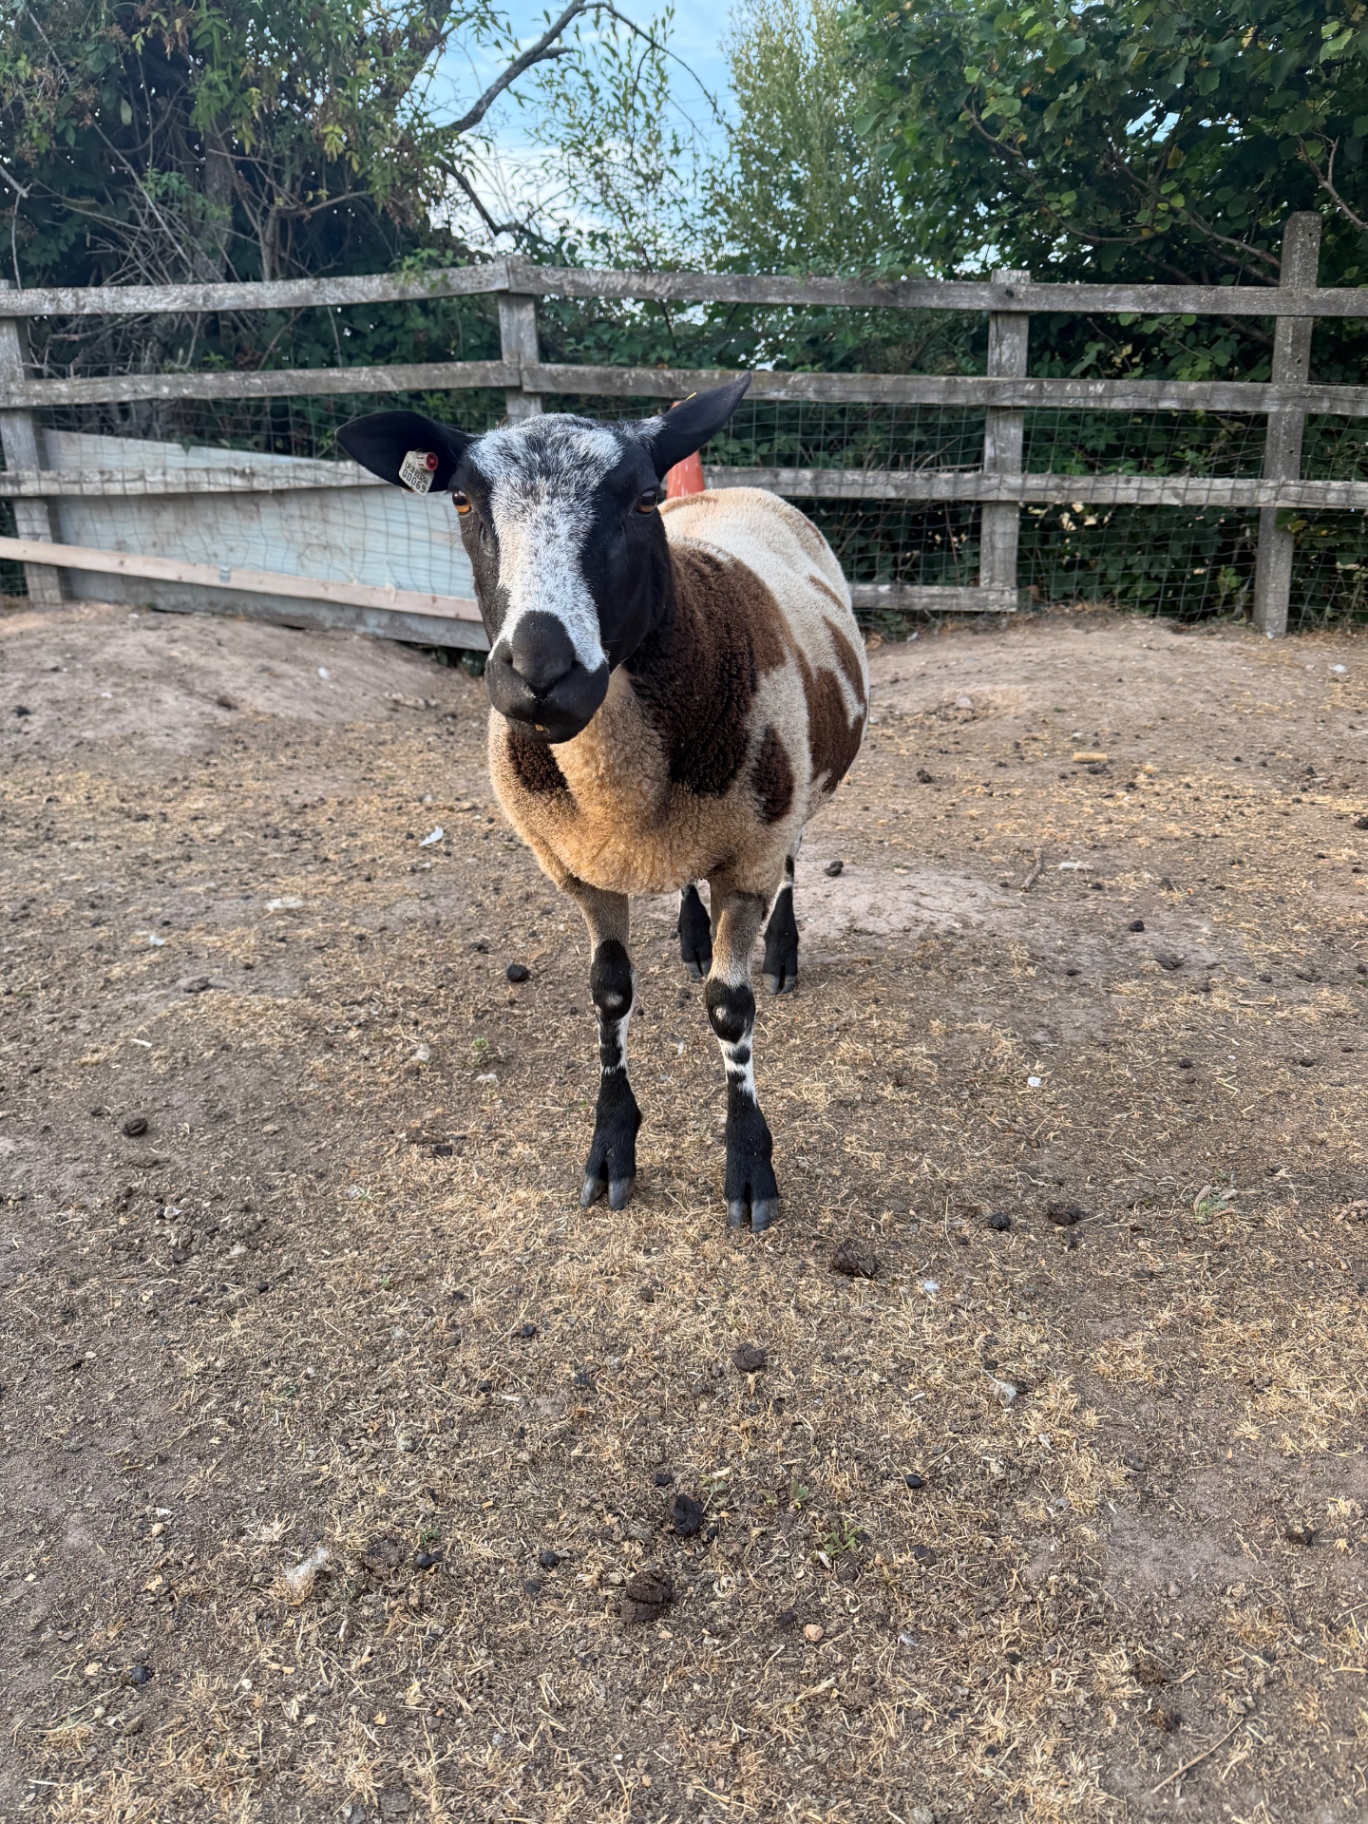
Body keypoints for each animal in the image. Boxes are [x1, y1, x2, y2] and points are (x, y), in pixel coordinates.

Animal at [337, 377, 868, 1231]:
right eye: (461, 499)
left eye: (643, 497)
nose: (539, 675)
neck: (616, 783)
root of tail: (729, 491)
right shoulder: (577, 865)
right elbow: (610, 995)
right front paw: (611, 1149)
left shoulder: (748, 848)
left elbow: (729, 1009)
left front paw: (750, 1167)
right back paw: (690, 934)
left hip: (792, 785)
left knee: (793, 860)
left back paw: (782, 951)